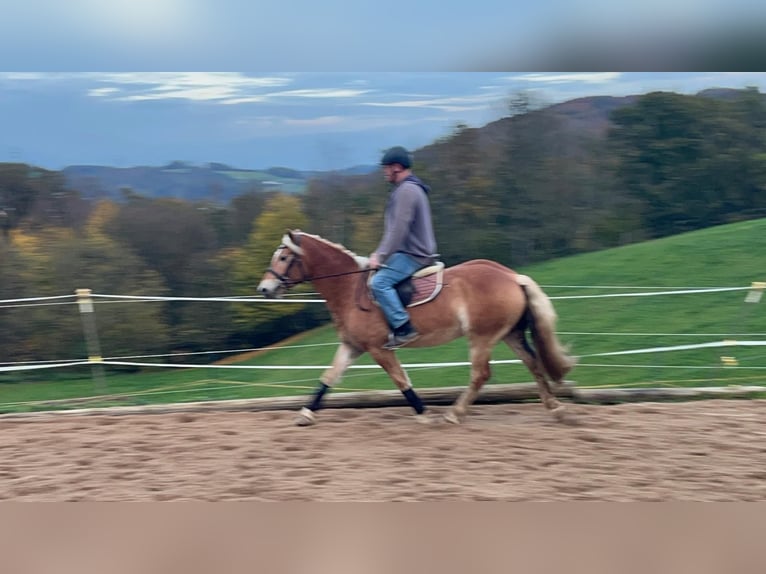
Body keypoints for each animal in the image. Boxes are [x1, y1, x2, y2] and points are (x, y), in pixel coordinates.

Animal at [258, 231, 576, 428]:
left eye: (283, 258)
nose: (264, 289)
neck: (349, 288)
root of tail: (511, 276)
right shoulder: (352, 346)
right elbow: (328, 377)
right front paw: (305, 414)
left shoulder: (378, 349)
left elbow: (401, 380)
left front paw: (424, 414)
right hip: (509, 334)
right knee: (532, 363)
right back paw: (556, 408)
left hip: (482, 337)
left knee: (481, 374)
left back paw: (454, 414)